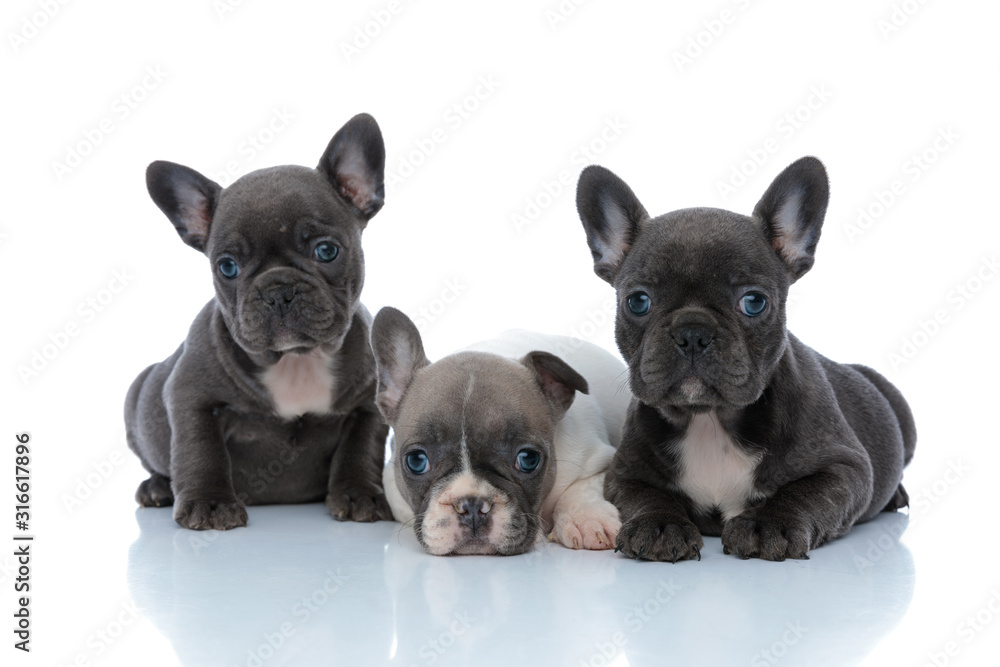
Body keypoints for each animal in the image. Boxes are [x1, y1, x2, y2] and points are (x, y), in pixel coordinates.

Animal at [123, 115, 392, 532]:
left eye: (326, 250)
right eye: (227, 267)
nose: (278, 290)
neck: (296, 360)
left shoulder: (368, 405)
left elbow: (361, 448)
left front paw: (359, 494)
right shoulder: (191, 397)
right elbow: (201, 449)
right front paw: (210, 503)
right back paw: (157, 488)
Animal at [372, 310, 628, 560]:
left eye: (528, 459)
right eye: (416, 461)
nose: (472, 506)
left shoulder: (599, 460)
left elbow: (581, 489)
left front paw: (588, 519)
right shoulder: (391, 482)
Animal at [580, 158, 916, 564]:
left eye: (754, 302)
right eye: (638, 301)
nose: (692, 332)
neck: (708, 419)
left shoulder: (847, 467)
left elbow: (803, 491)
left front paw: (767, 523)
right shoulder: (624, 472)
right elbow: (647, 495)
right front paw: (660, 524)